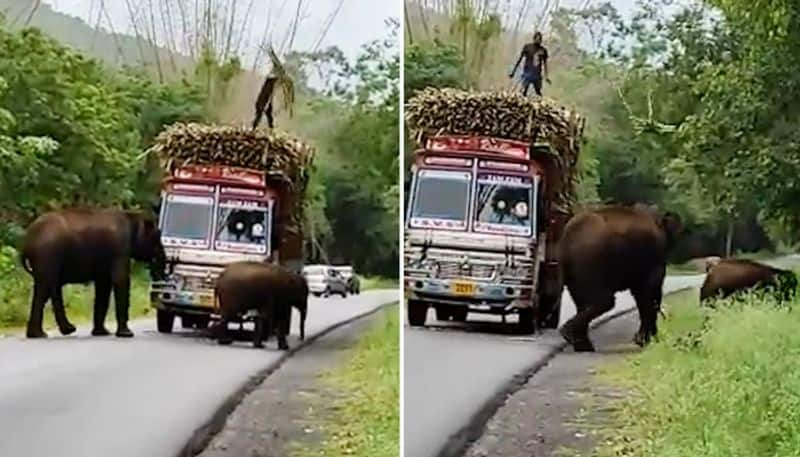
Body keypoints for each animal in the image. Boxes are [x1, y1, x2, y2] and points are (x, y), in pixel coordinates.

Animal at [21, 208, 167, 336]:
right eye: (157, 236)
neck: (131, 215)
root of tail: (27, 240)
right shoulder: (119, 249)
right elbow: (120, 281)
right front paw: (126, 334)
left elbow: (104, 286)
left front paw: (102, 332)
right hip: (48, 256)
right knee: (45, 289)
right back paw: (47, 333)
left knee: (46, 289)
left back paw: (46, 333)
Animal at [556, 205, 680, 350]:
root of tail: (568, 235)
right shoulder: (653, 257)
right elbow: (648, 291)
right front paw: (645, 341)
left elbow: (640, 293)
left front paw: (645, 340)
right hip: (591, 262)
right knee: (605, 301)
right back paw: (568, 334)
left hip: (573, 268)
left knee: (582, 301)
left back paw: (581, 344)